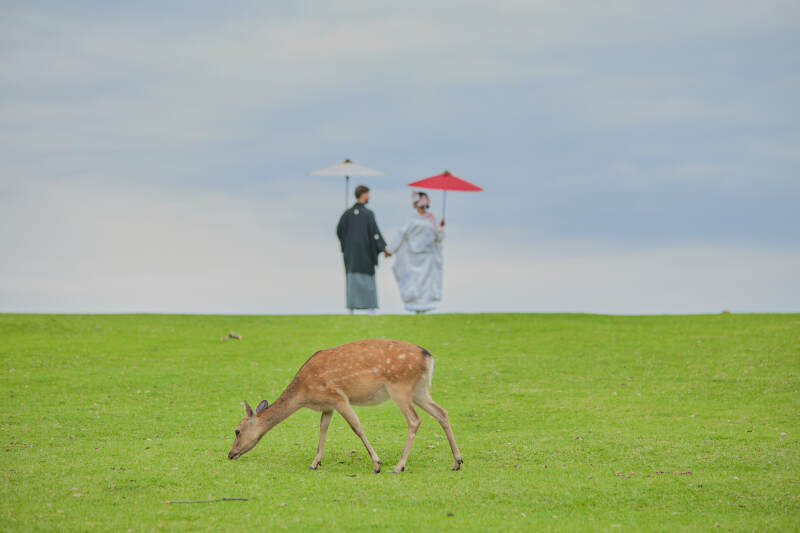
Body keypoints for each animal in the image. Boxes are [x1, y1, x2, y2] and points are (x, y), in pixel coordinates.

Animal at [227, 339, 463, 474]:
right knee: (442, 412)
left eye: (237, 430)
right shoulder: (327, 405)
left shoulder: (338, 396)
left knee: (414, 420)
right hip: (420, 390)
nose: (230, 454)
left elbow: (356, 426)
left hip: (400, 387)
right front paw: (315, 462)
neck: (304, 393)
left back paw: (399, 466)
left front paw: (377, 464)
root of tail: (428, 358)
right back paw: (457, 461)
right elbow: (323, 428)